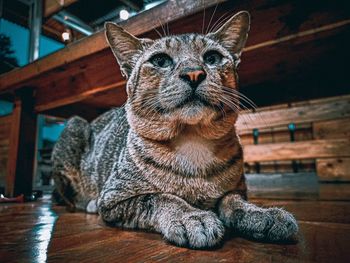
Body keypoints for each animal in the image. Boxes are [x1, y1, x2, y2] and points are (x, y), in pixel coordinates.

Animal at [52, 10, 298, 250]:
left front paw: (261, 214)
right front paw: (191, 216)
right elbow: (160, 198)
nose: (193, 73)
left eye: (212, 58)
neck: (192, 139)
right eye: (160, 60)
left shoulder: (236, 190)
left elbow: (234, 202)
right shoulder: (115, 197)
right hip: (74, 126)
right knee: (66, 197)